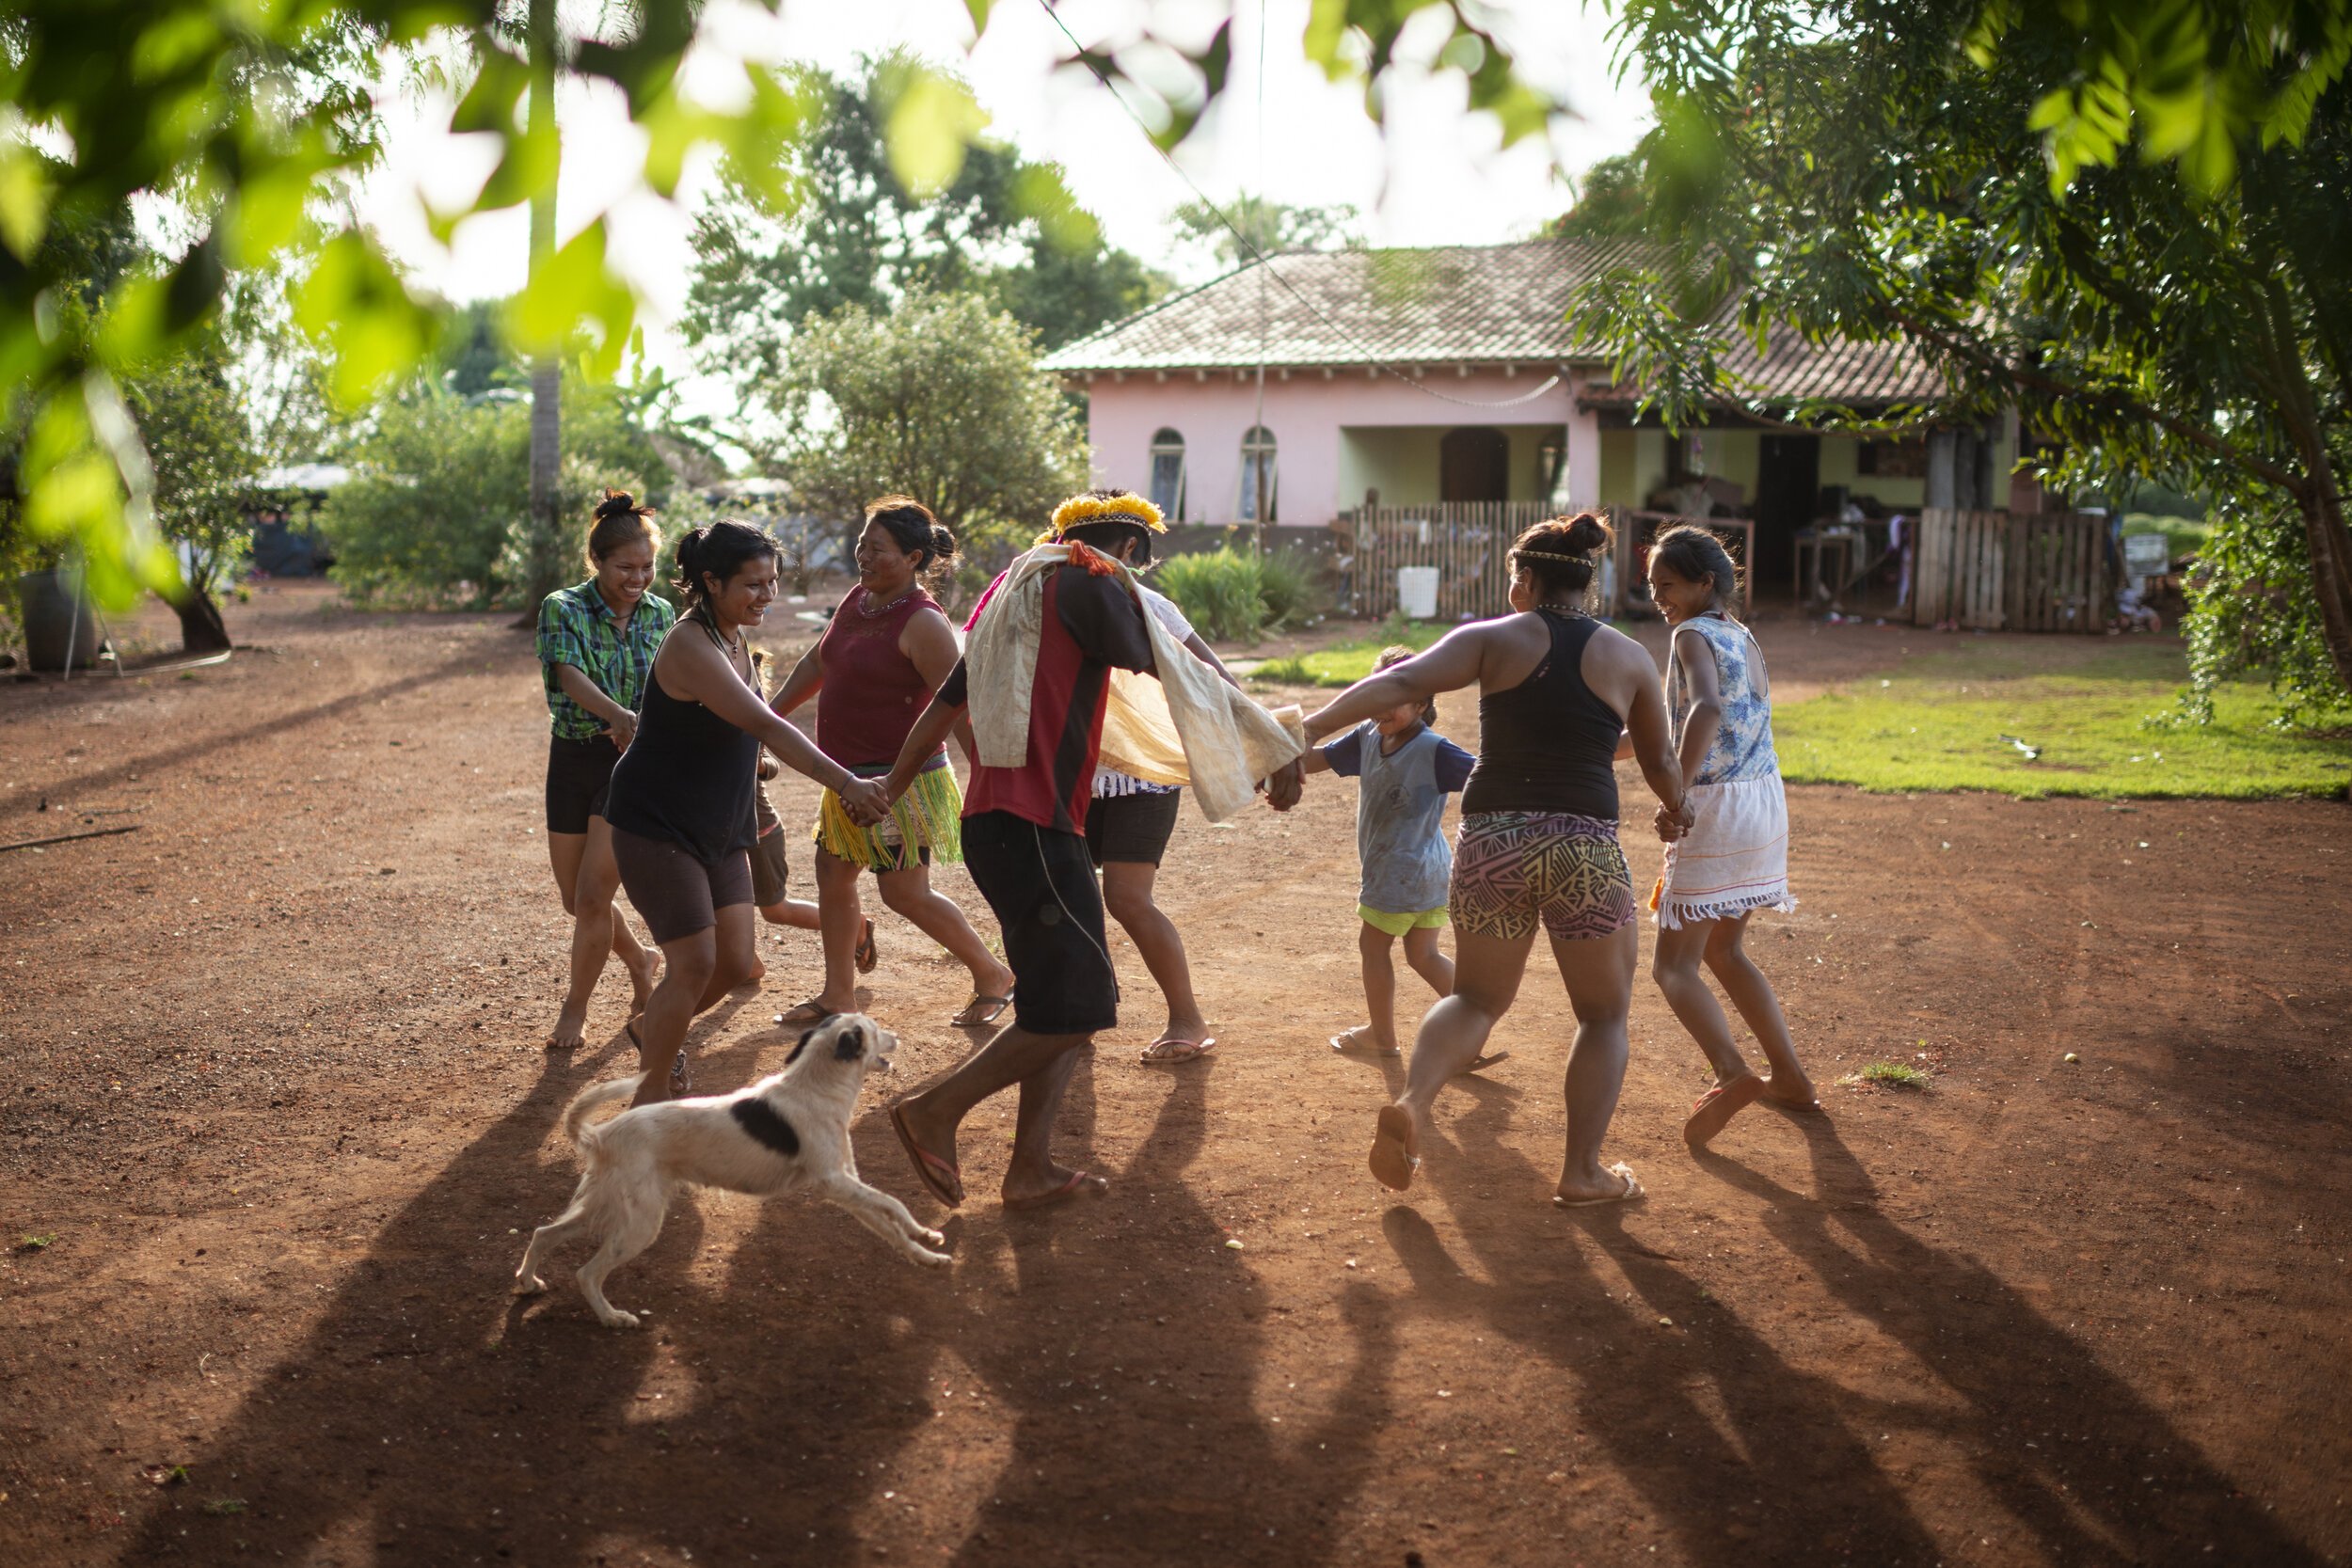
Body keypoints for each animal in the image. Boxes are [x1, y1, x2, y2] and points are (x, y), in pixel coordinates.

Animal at [519, 1010, 950, 1335]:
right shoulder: (833, 1182)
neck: (815, 1088)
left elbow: (891, 1224)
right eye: (876, 1031)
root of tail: (602, 1135)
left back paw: (527, 1283)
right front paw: (926, 1238)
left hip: (607, 1207)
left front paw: (925, 1248)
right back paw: (612, 1318)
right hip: (639, 1224)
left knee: (543, 1233)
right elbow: (893, 1202)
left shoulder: (846, 1186)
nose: (896, 1037)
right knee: (586, 1273)